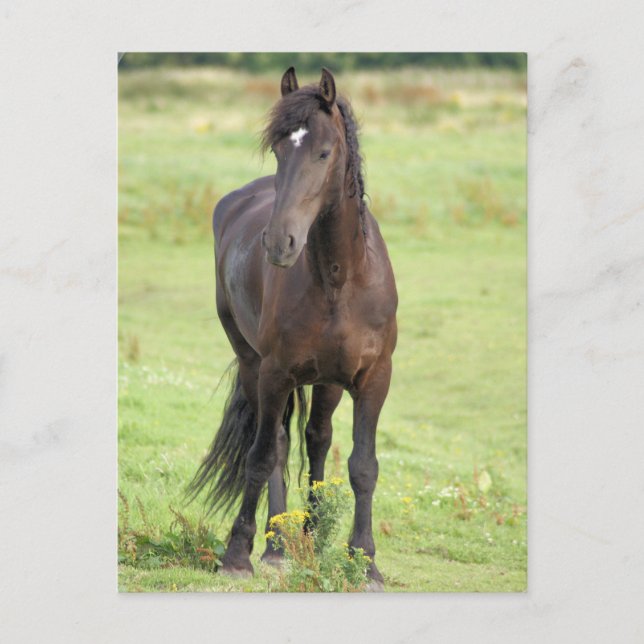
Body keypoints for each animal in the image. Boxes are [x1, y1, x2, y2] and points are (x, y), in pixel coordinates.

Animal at [188, 66, 398, 590]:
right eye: (279, 149)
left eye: (324, 152)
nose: (279, 243)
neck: (340, 279)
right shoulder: (275, 372)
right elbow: (263, 456)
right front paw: (238, 554)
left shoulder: (374, 378)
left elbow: (362, 466)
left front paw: (364, 561)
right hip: (252, 364)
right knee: (279, 445)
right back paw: (277, 545)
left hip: (327, 381)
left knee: (317, 438)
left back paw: (310, 534)